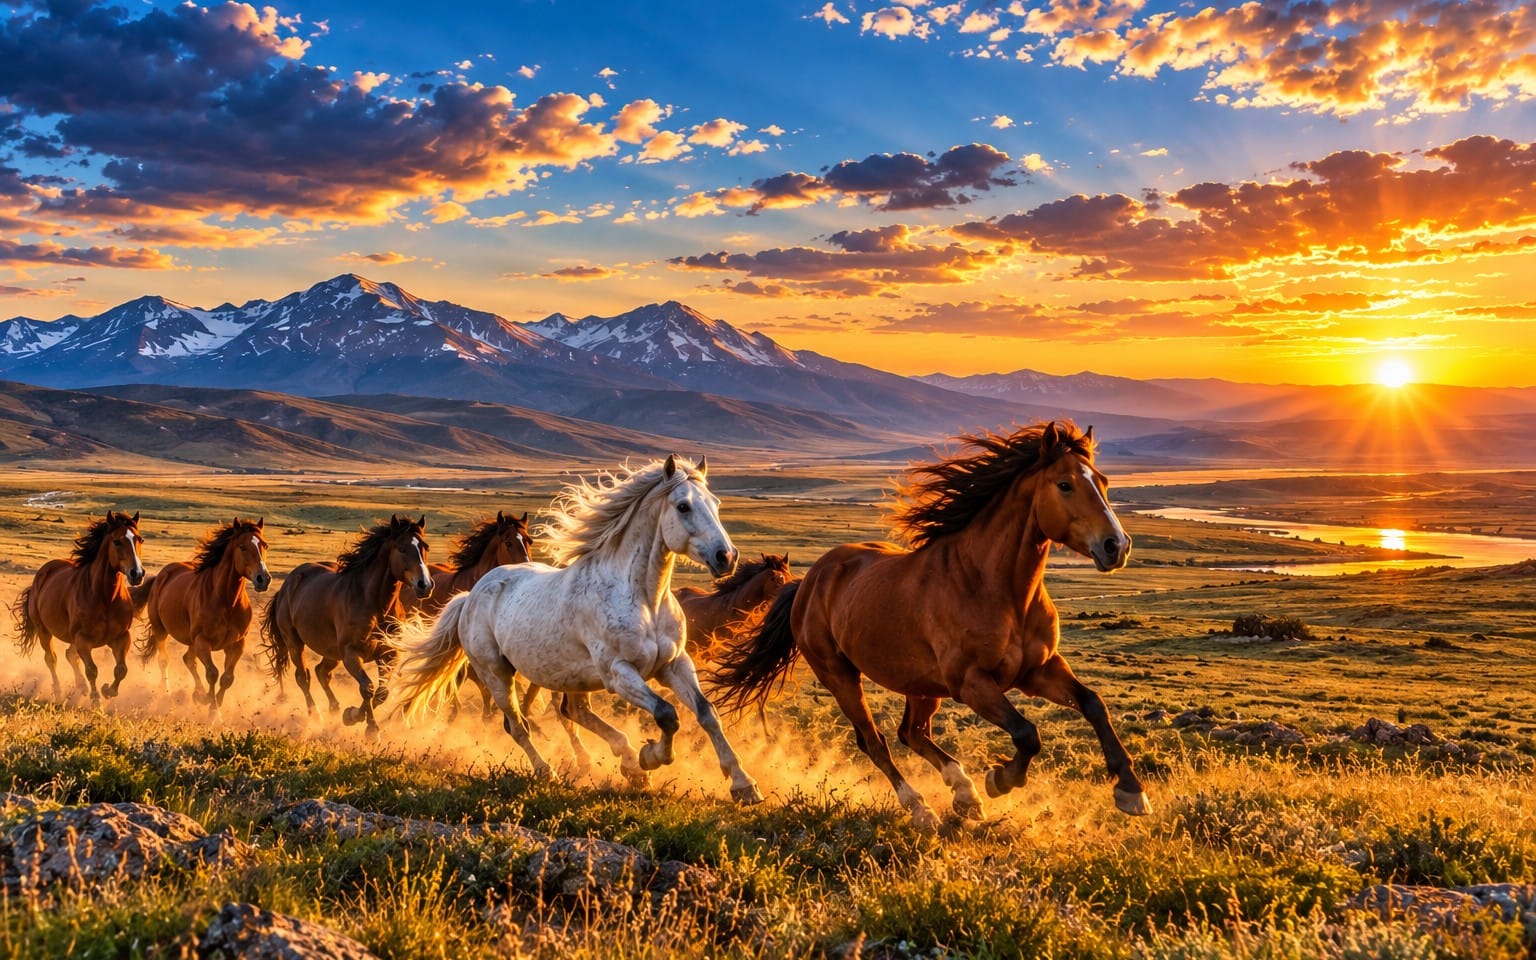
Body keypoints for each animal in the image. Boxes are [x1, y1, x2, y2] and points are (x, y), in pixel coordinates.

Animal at [10, 511, 147, 703]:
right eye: (117, 541)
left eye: (140, 539)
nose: (137, 574)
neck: (106, 599)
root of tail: (41, 575)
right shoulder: (83, 639)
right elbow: (92, 670)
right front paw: (96, 699)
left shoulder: (121, 637)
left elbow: (121, 670)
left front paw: (108, 691)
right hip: (44, 630)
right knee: (51, 659)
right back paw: (59, 693)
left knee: (70, 655)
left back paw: (81, 687)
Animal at [139, 517, 270, 717]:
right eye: (242, 547)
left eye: (264, 545)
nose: (263, 578)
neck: (226, 602)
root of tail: (162, 575)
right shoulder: (203, 641)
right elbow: (212, 674)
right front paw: (213, 711)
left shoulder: (236, 645)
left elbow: (227, 678)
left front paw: (210, 702)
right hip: (161, 630)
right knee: (165, 660)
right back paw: (166, 691)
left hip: (191, 641)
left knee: (188, 659)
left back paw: (198, 693)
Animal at [260, 515, 432, 733]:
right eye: (401, 548)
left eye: (425, 547)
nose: (424, 585)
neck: (374, 604)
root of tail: (286, 585)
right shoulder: (352, 653)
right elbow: (367, 688)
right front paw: (366, 725)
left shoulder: (389, 655)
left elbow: (382, 693)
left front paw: (351, 715)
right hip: (295, 644)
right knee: (303, 677)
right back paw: (316, 715)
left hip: (332, 652)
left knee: (322, 672)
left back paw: (334, 708)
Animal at [709, 421, 1149, 829]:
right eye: (1065, 485)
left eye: (1104, 482)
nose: (1116, 546)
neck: (996, 588)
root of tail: (809, 580)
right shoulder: (972, 683)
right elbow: (1027, 734)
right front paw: (1000, 779)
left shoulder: (1037, 670)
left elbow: (1093, 704)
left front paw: (1130, 790)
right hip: (841, 676)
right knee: (876, 741)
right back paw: (921, 807)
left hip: (920, 684)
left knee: (912, 733)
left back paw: (964, 793)